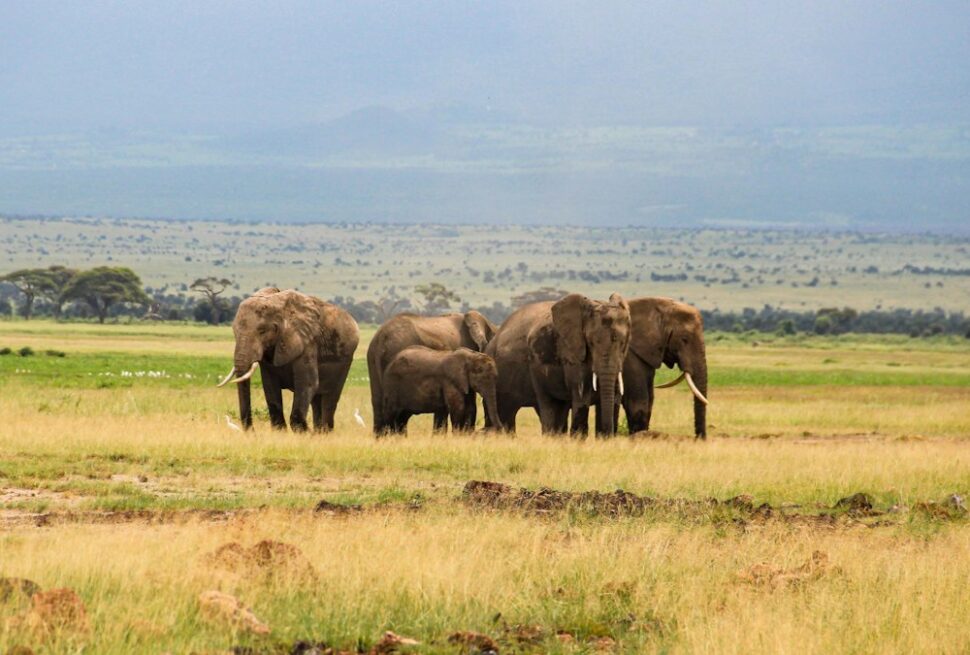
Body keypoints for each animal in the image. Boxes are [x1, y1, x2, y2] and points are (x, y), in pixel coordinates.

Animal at [216, 288, 359, 432]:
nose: (253, 432)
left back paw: (324, 431)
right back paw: (318, 432)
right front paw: (281, 431)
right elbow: (270, 386)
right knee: (316, 400)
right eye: (234, 331)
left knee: (330, 398)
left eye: (262, 331)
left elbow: (308, 383)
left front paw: (304, 432)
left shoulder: (307, 343)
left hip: (345, 360)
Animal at [486, 293, 631, 436]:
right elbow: (581, 395)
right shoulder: (570, 351)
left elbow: (615, 395)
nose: (608, 433)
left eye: (623, 343)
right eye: (590, 343)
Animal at [621, 297, 709, 438]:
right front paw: (638, 437)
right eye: (684, 339)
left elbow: (650, 400)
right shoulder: (629, 356)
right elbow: (638, 402)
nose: (700, 439)